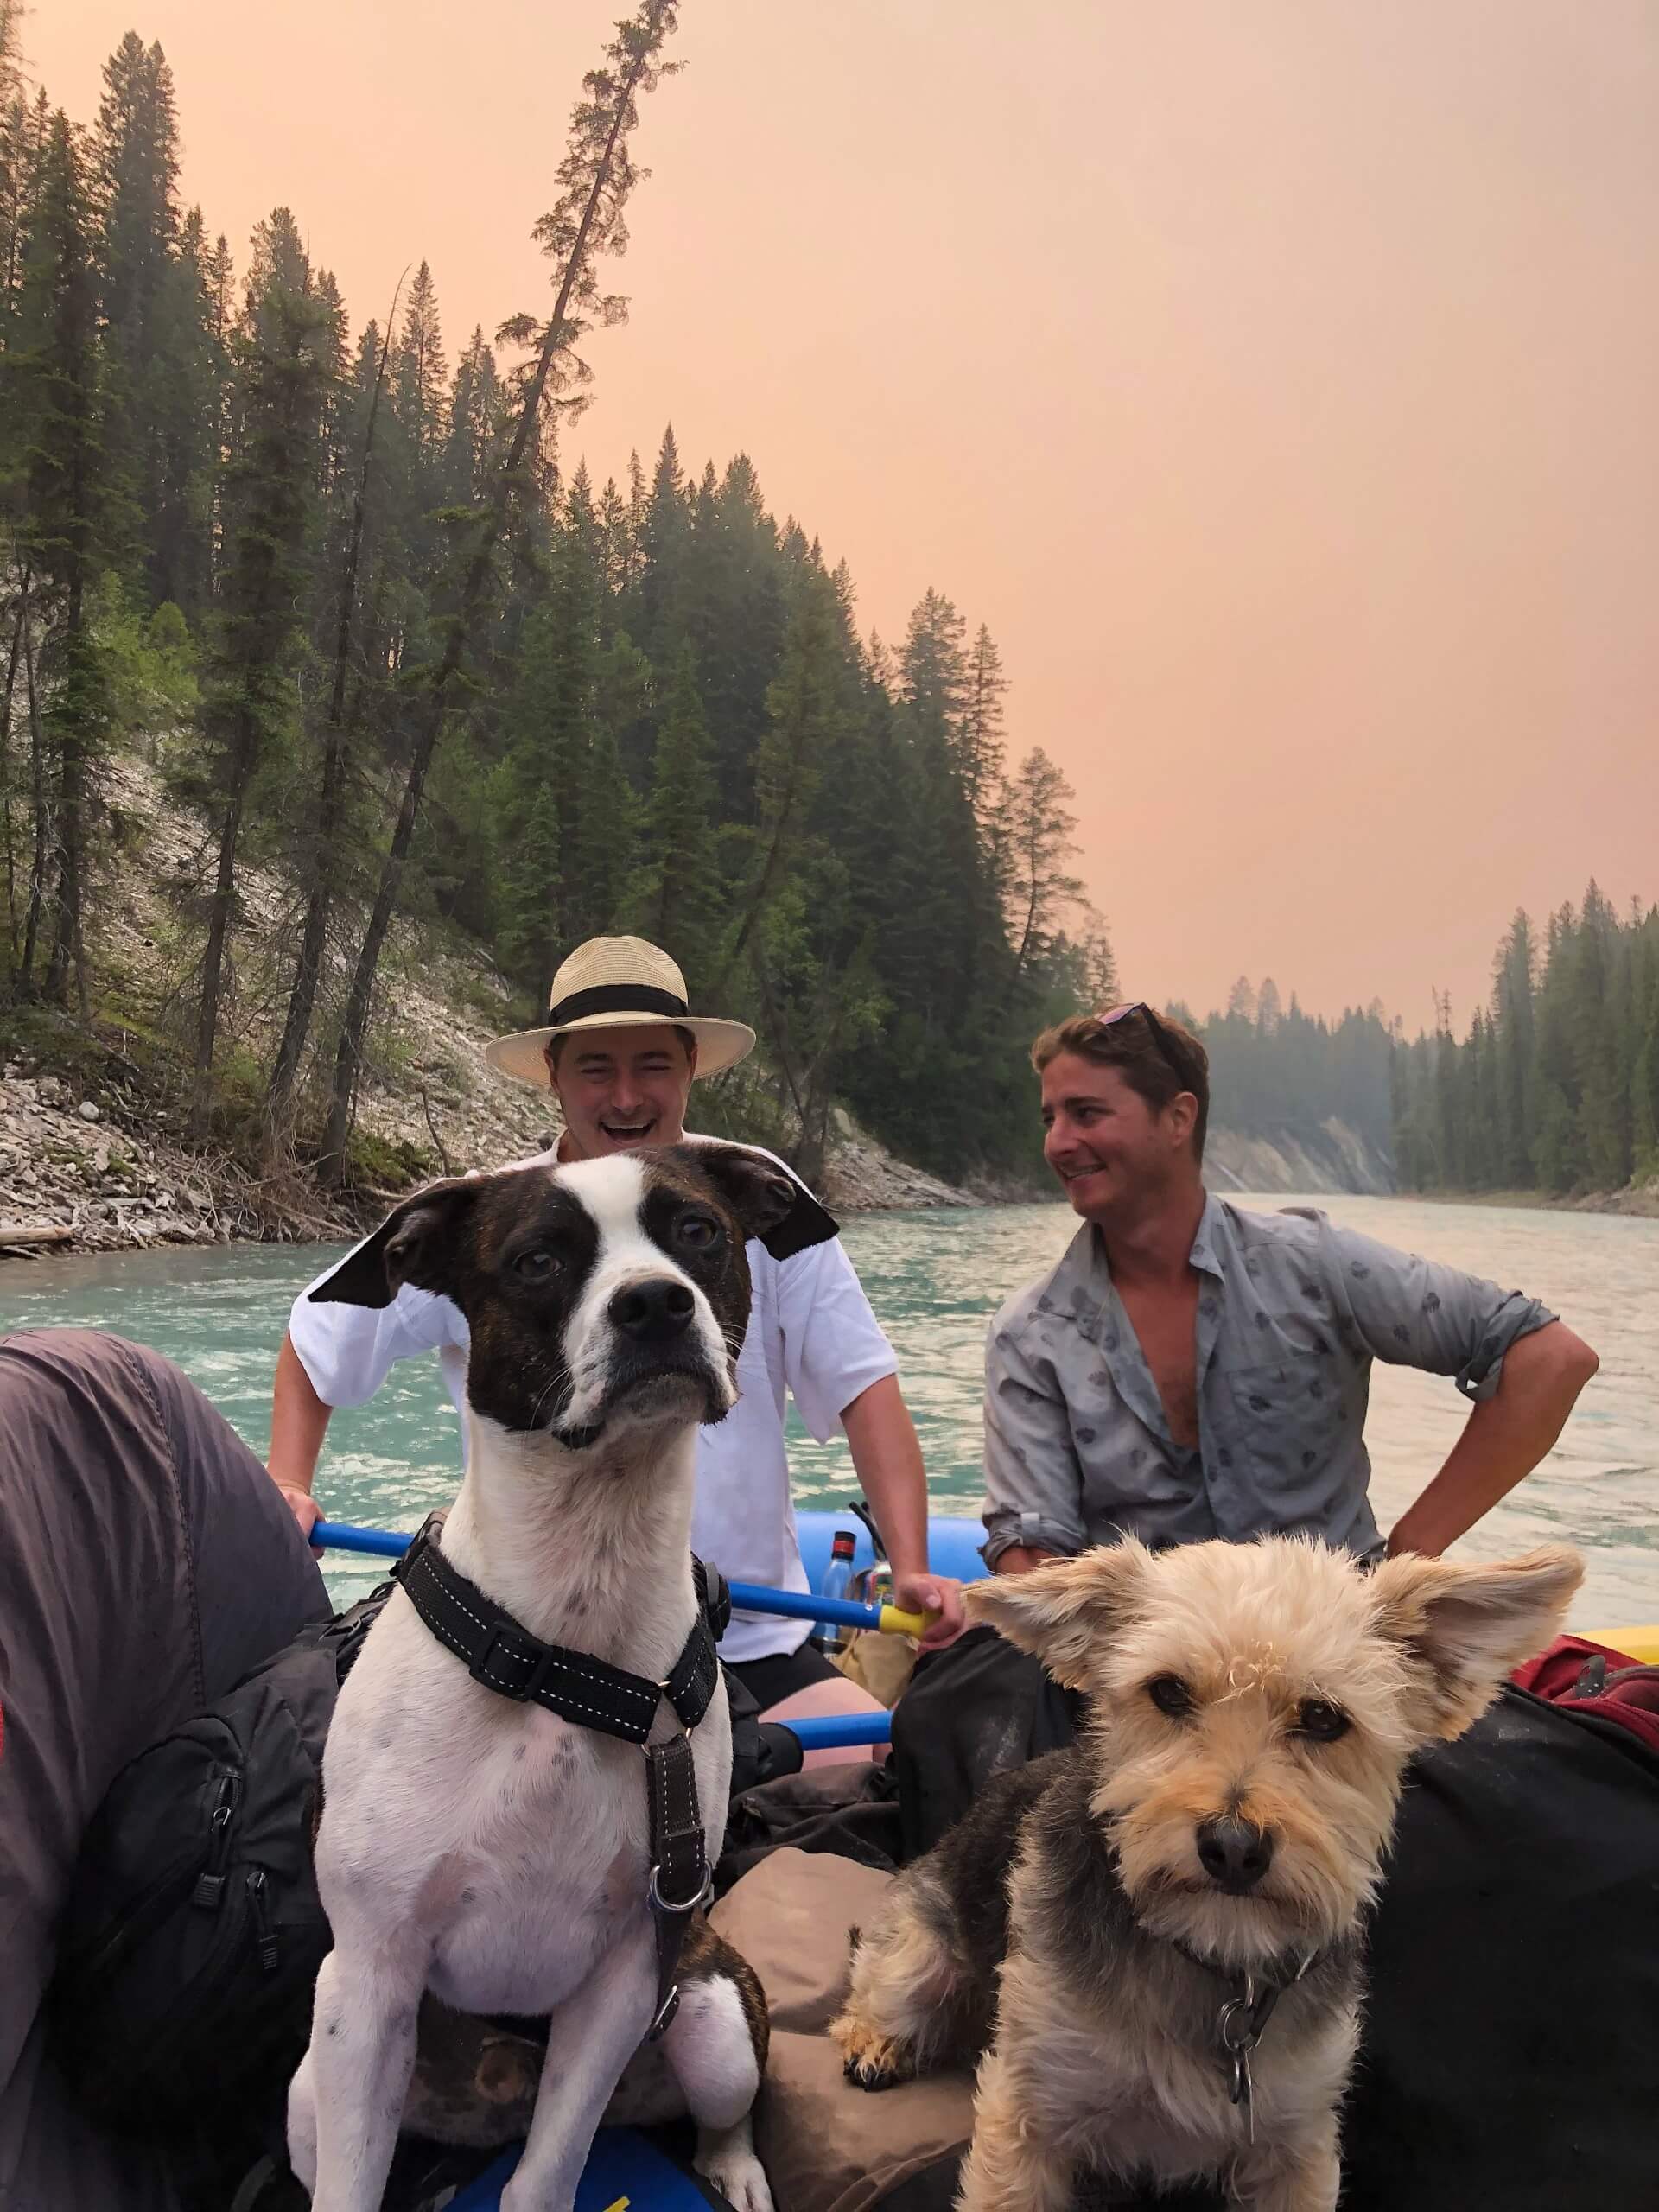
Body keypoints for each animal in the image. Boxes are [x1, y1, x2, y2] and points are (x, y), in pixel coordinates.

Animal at [285, 1150, 787, 2212]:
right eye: (538, 1260)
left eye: (698, 1232)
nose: (655, 1303)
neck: (571, 1630)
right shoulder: (370, 1977)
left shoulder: (626, 1974)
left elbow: (546, 2178)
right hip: (314, 2084)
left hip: (712, 2014)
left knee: (723, 2107)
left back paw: (733, 2169)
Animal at [831, 1539, 1583, 2212]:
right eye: (1167, 1691)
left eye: (1324, 1717)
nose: (1232, 1848)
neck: (1217, 1957)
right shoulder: (1030, 2109)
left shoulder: (1297, 2142)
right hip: (921, 1947)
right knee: (882, 1986)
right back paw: (876, 2040)